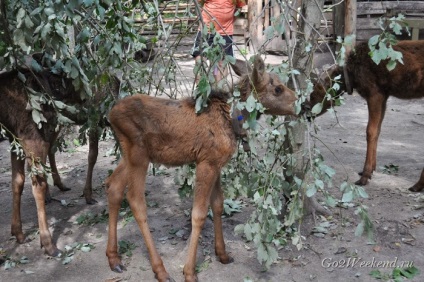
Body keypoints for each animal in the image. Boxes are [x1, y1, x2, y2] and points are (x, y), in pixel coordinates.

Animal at [105, 55, 298, 282]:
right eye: (277, 89)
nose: (299, 103)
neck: (233, 119)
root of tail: (110, 115)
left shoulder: (216, 164)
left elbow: (218, 205)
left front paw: (222, 253)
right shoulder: (206, 163)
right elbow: (198, 214)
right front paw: (189, 271)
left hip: (129, 156)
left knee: (113, 186)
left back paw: (113, 258)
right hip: (139, 155)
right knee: (136, 201)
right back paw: (160, 269)